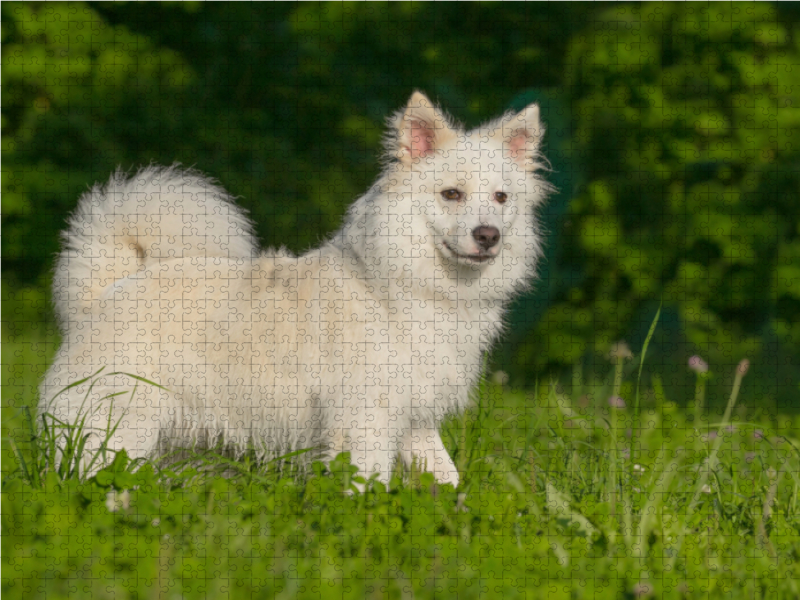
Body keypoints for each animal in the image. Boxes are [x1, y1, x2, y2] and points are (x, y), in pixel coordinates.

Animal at [39, 94, 552, 488]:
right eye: (451, 195)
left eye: (501, 198)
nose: (489, 236)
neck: (410, 287)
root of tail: (105, 291)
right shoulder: (364, 418)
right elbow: (369, 484)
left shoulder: (413, 418)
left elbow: (447, 477)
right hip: (119, 428)